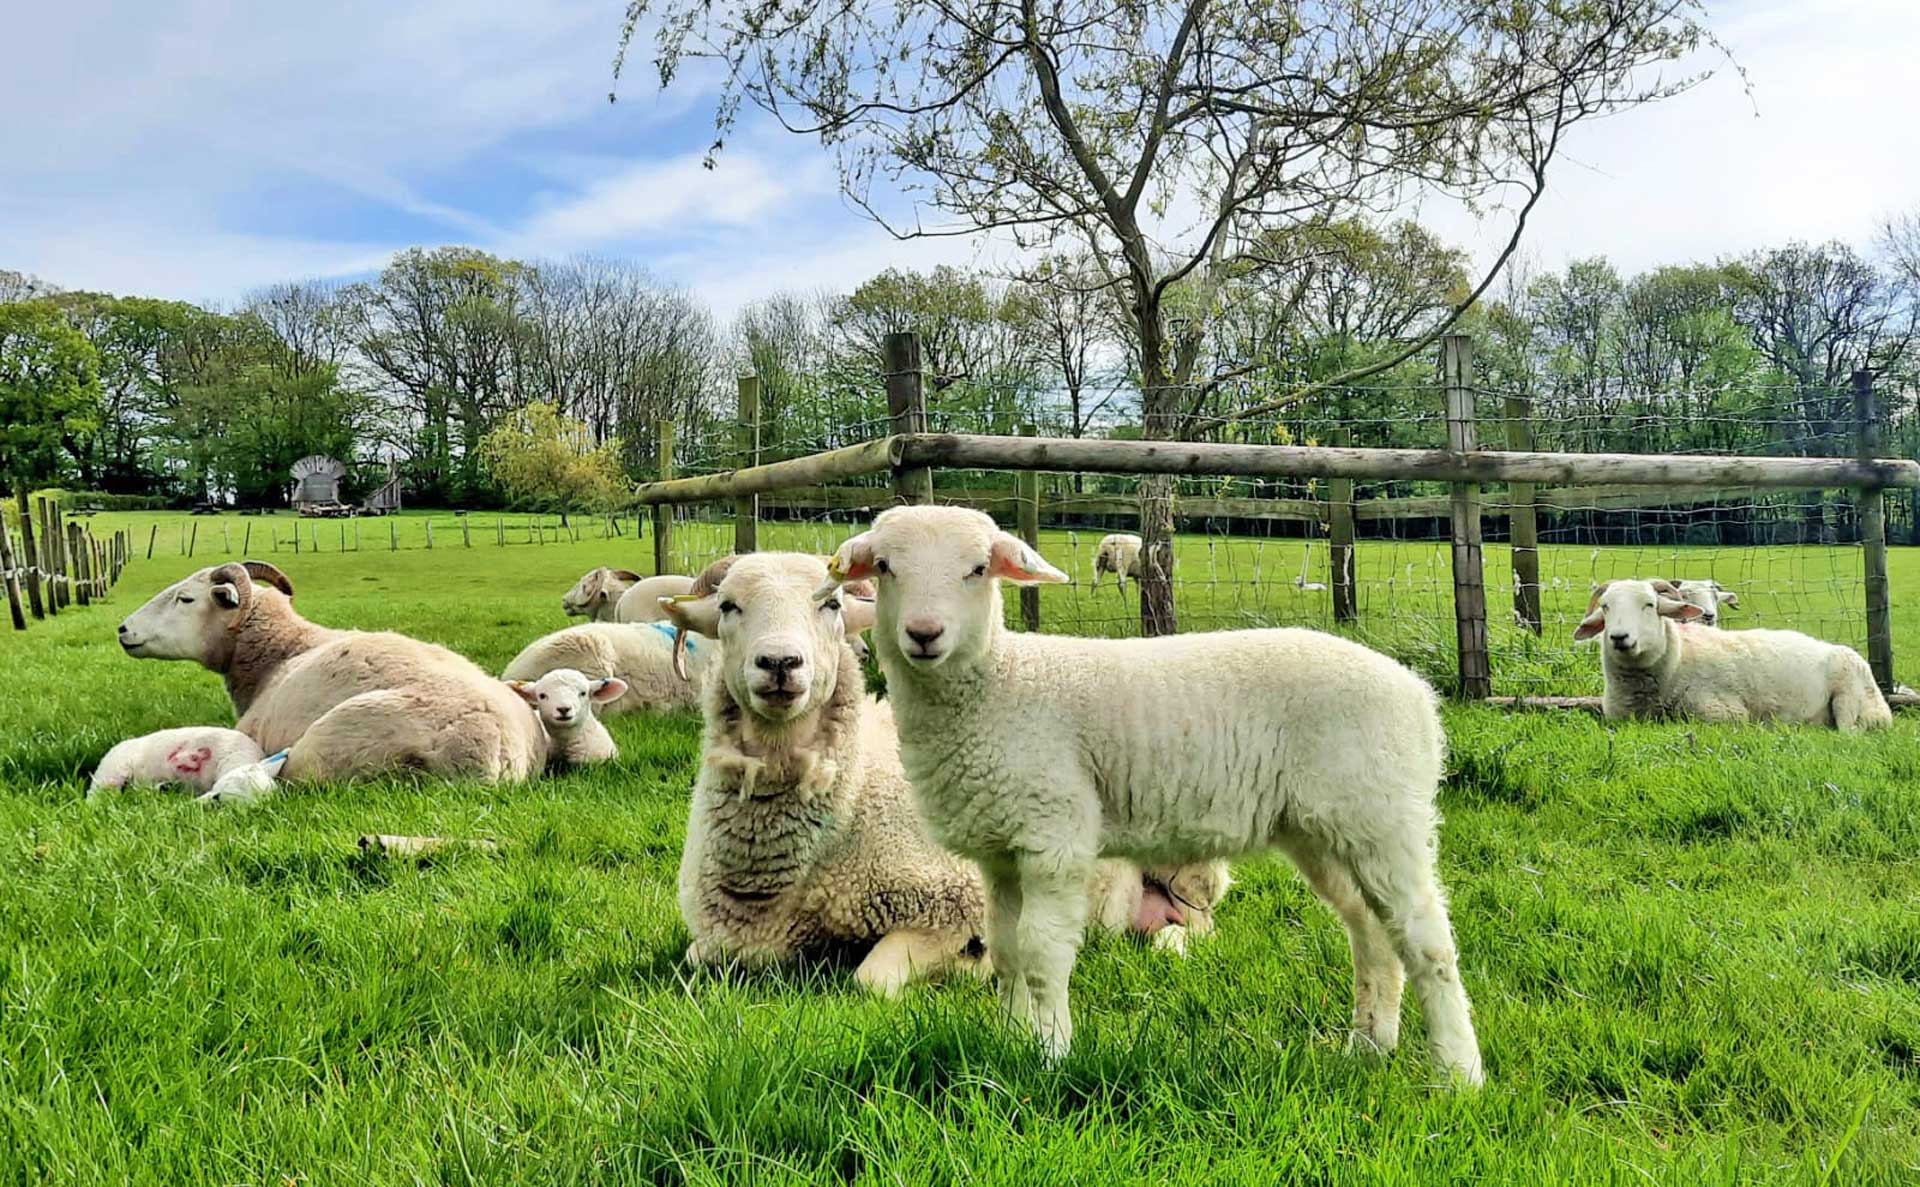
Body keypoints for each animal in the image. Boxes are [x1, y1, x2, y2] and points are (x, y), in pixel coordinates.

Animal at [661, 551, 1216, 996]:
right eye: (728, 607)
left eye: (831, 606)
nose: (780, 662)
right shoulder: (728, 941)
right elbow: (696, 959)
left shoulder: (952, 898)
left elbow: (871, 980)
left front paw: (974, 963)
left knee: (1200, 922)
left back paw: (1170, 942)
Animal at [824, 506, 1482, 1084]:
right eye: (884, 566)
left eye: (978, 568)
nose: (923, 634)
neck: (999, 684)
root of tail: (1418, 695)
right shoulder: (1000, 847)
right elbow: (1007, 950)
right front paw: (1011, 1042)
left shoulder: (1053, 833)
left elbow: (1041, 951)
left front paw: (1051, 1054)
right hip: (1326, 831)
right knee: (1372, 934)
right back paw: (1369, 1046)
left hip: (1383, 818)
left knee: (1428, 941)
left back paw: (1458, 1074)